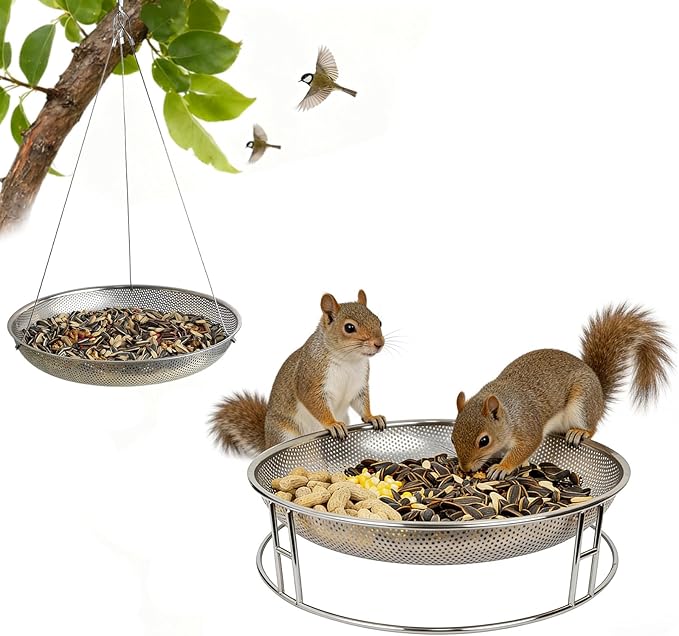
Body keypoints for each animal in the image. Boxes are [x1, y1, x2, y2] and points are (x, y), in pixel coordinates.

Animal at [210, 290, 387, 456]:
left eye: (379, 321)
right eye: (349, 327)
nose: (379, 344)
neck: (349, 360)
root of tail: (268, 441)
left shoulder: (359, 384)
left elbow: (361, 402)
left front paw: (372, 416)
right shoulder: (310, 377)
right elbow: (313, 401)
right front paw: (333, 424)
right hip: (284, 434)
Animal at [453, 303, 673, 480]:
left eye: (484, 441)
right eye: (453, 437)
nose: (465, 468)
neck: (509, 414)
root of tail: (600, 395)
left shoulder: (528, 427)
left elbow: (525, 448)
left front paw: (502, 467)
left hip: (582, 403)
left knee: (592, 427)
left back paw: (579, 432)